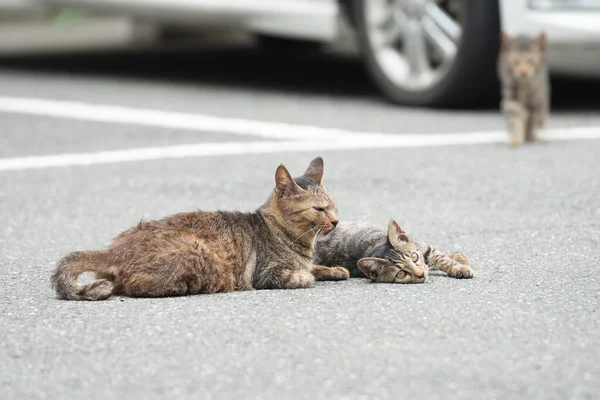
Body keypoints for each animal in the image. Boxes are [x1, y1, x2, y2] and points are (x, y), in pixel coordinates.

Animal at [52, 156, 352, 300]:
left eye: (334, 206)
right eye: (319, 209)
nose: (336, 221)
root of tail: (114, 249)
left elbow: (318, 267)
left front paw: (334, 269)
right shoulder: (267, 272)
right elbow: (302, 275)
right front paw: (308, 275)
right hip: (198, 254)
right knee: (131, 286)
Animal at [314, 219, 474, 284]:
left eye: (414, 257)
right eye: (401, 274)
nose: (421, 275)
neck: (376, 245)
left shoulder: (424, 248)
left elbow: (441, 258)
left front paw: (459, 262)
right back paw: (337, 271)